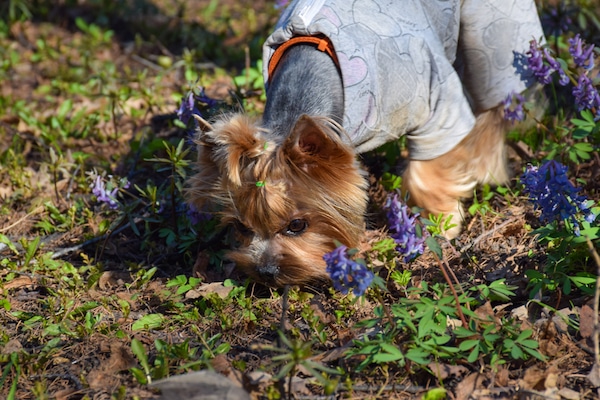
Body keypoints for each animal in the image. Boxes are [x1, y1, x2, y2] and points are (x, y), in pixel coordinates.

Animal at [186, 0, 544, 288]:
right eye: (241, 226)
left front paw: (442, 222)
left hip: (492, 29)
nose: (266, 272)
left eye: (296, 225)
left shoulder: (433, 99)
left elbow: (426, 172)